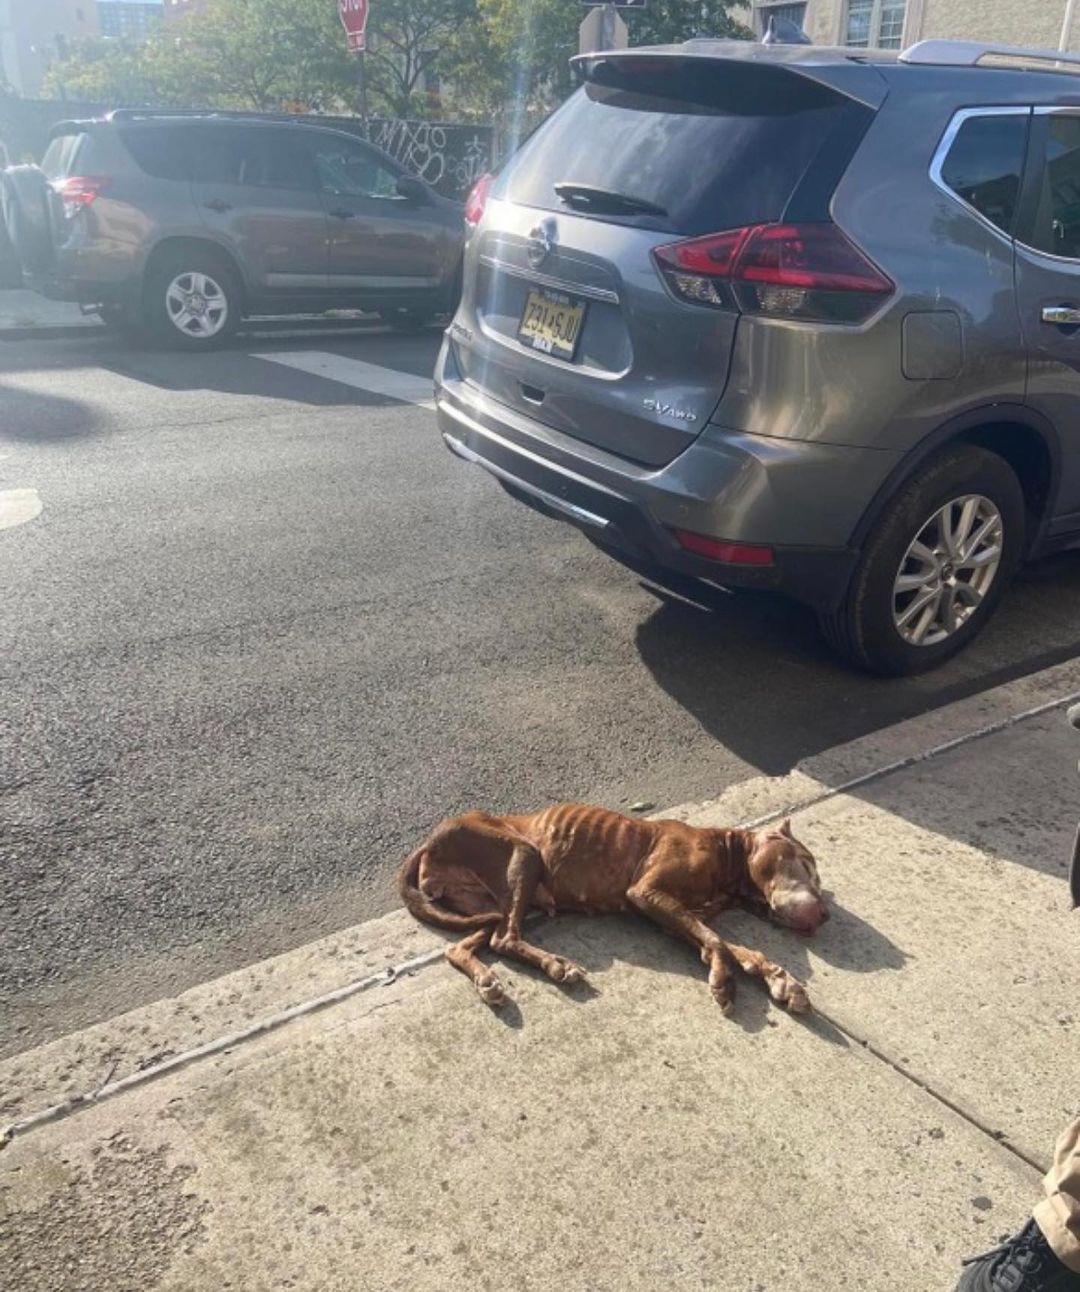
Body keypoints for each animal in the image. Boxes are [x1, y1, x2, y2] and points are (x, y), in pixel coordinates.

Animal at [400, 801, 831, 1012]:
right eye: (807, 865)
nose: (826, 914)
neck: (729, 859)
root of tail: (427, 843)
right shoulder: (647, 894)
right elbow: (718, 941)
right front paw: (726, 980)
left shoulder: (672, 914)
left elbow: (724, 943)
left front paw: (778, 978)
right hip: (524, 853)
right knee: (505, 939)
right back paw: (556, 966)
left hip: (488, 904)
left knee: (465, 945)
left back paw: (487, 981)